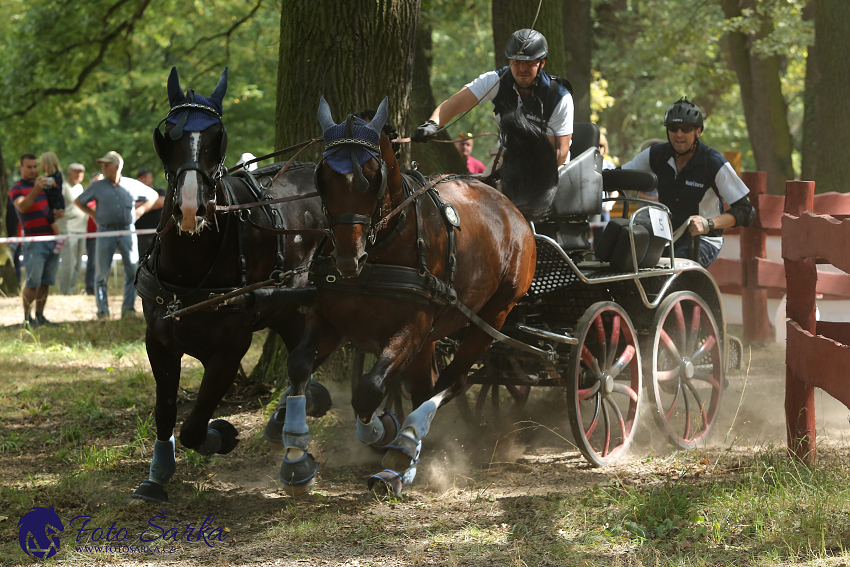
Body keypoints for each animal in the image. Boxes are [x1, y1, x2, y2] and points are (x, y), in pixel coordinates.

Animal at [133, 69, 328, 504]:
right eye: (169, 133)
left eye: (216, 136)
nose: (190, 207)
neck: (191, 269)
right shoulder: (159, 341)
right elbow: (165, 411)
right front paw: (158, 473)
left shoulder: (229, 349)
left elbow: (194, 425)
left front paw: (219, 434)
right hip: (283, 307)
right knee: (304, 361)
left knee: (306, 360)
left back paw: (294, 454)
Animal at [274, 98, 544, 496]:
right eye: (322, 177)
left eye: (373, 176)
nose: (347, 257)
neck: (381, 250)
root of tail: (510, 208)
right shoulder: (329, 321)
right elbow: (298, 366)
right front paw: (295, 456)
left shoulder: (410, 328)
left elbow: (369, 390)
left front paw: (381, 430)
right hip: (435, 333)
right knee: (424, 385)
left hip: (493, 315)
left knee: (451, 381)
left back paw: (404, 446)